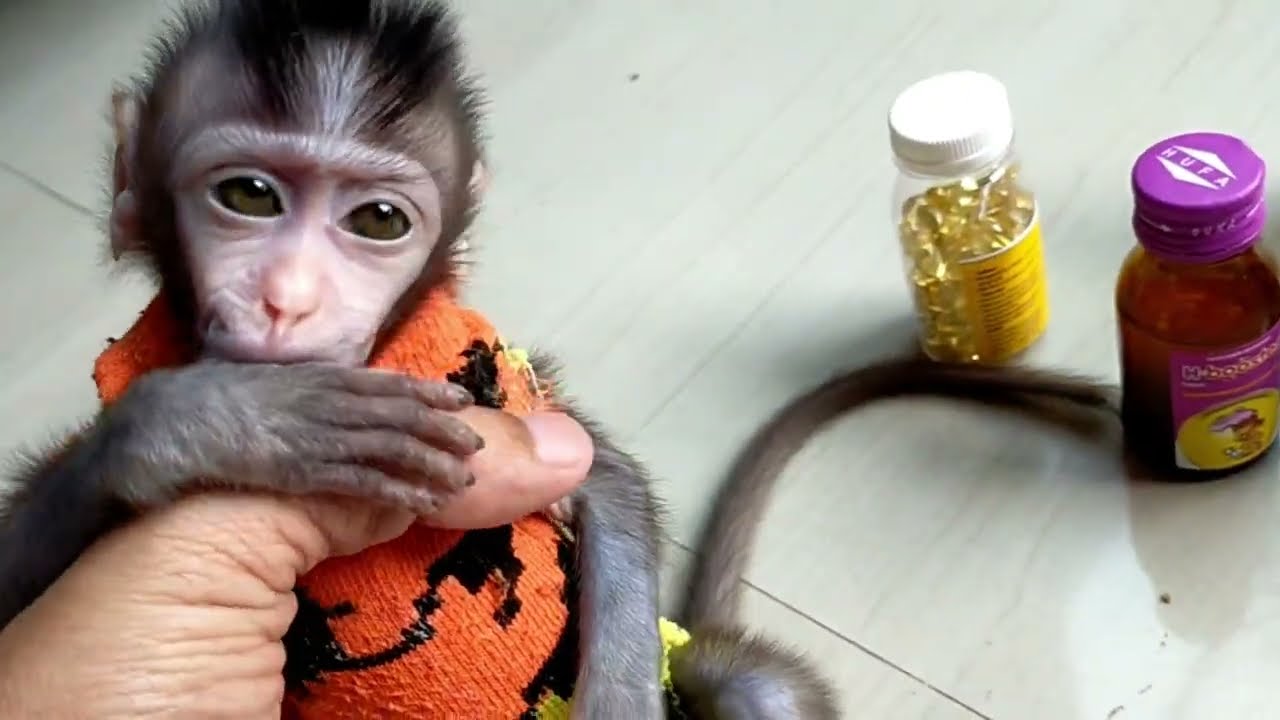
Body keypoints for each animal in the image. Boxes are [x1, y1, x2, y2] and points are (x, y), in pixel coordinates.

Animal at [0, 1, 838, 717]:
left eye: (378, 220)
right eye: (248, 196)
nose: (288, 300)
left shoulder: (517, 402)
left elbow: (607, 478)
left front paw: (620, 705)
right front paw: (235, 420)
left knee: (747, 681)